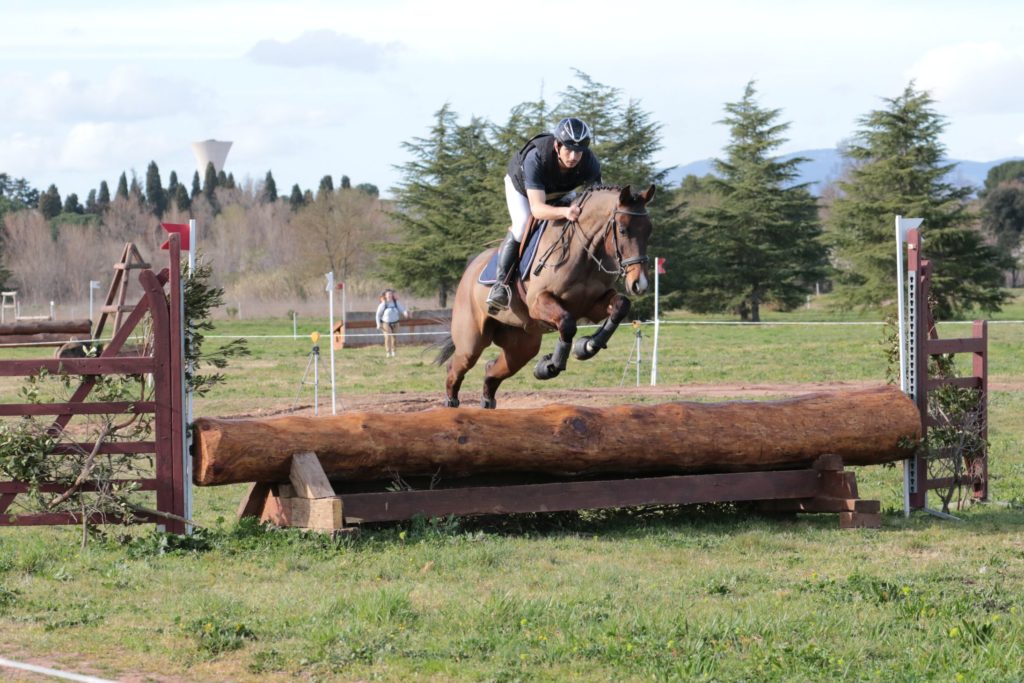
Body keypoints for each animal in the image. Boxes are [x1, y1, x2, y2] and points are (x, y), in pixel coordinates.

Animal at [432, 181, 655, 409]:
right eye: (623, 230)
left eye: (649, 231)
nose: (640, 284)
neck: (583, 253)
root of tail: (470, 268)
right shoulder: (538, 302)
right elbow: (567, 323)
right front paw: (550, 365)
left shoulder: (592, 305)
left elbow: (621, 305)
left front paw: (587, 346)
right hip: (472, 342)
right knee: (456, 368)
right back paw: (451, 404)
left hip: (522, 346)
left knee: (492, 370)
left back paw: (487, 403)